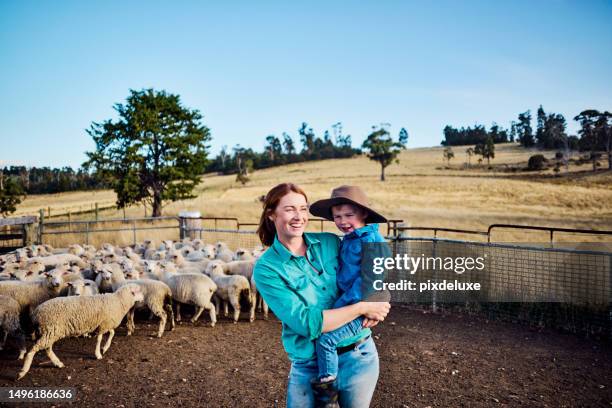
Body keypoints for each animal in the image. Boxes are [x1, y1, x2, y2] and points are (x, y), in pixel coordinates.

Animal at [16, 284, 145, 380]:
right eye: (138, 291)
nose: (143, 298)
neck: (118, 301)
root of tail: (36, 313)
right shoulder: (103, 324)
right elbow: (100, 338)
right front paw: (98, 354)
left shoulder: (105, 323)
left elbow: (112, 333)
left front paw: (105, 348)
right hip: (50, 330)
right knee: (33, 350)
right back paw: (23, 372)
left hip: (50, 331)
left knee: (47, 349)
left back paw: (58, 363)